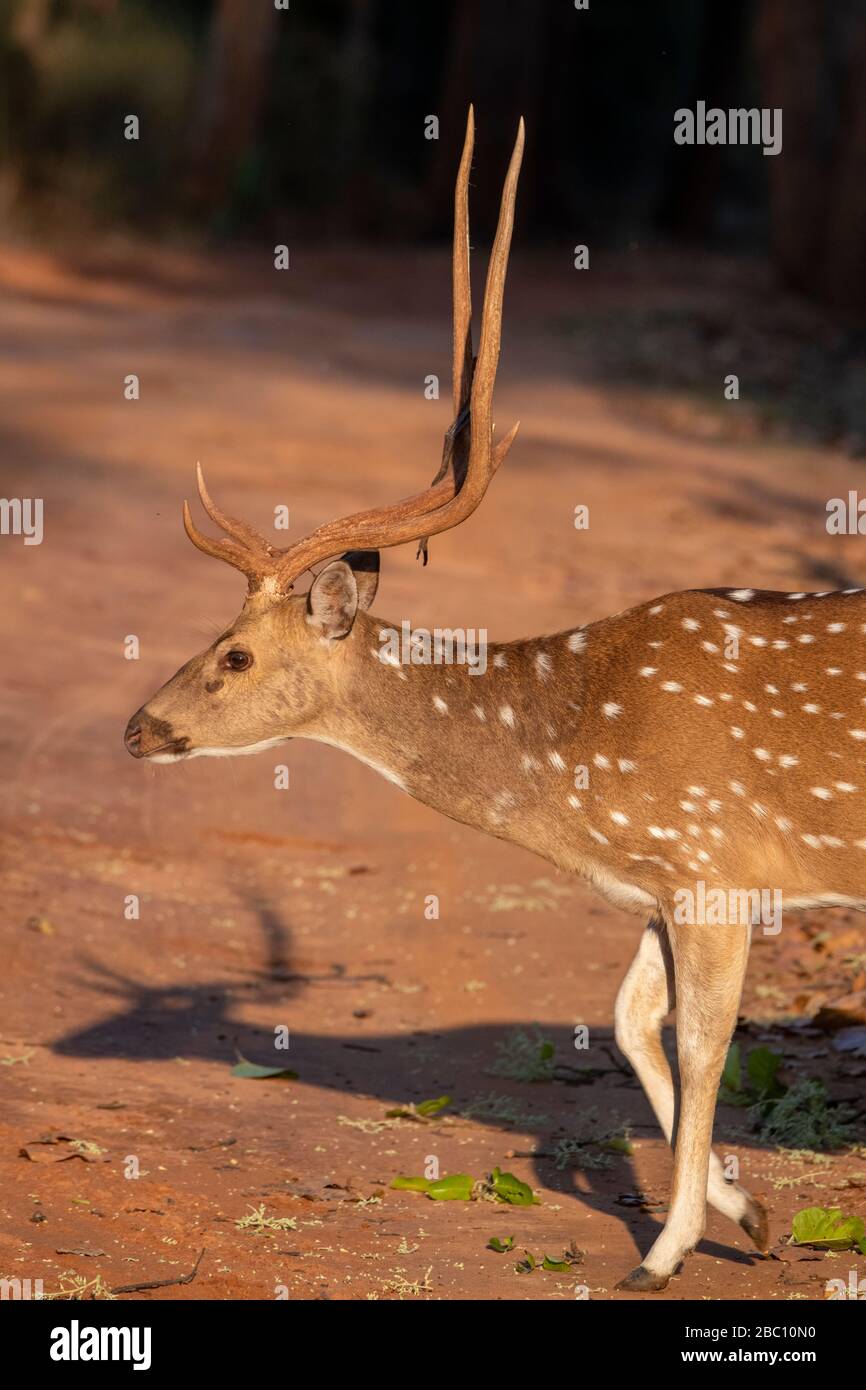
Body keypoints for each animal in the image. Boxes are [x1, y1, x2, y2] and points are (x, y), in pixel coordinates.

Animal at [124, 107, 865, 1294]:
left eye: (233, 656)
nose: (137, 726)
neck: (574, 757)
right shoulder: (665, 881)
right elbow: (630, 1022)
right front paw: (748, 1212)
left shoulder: (713, 858)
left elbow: (702, 1042)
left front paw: (664, 1250)